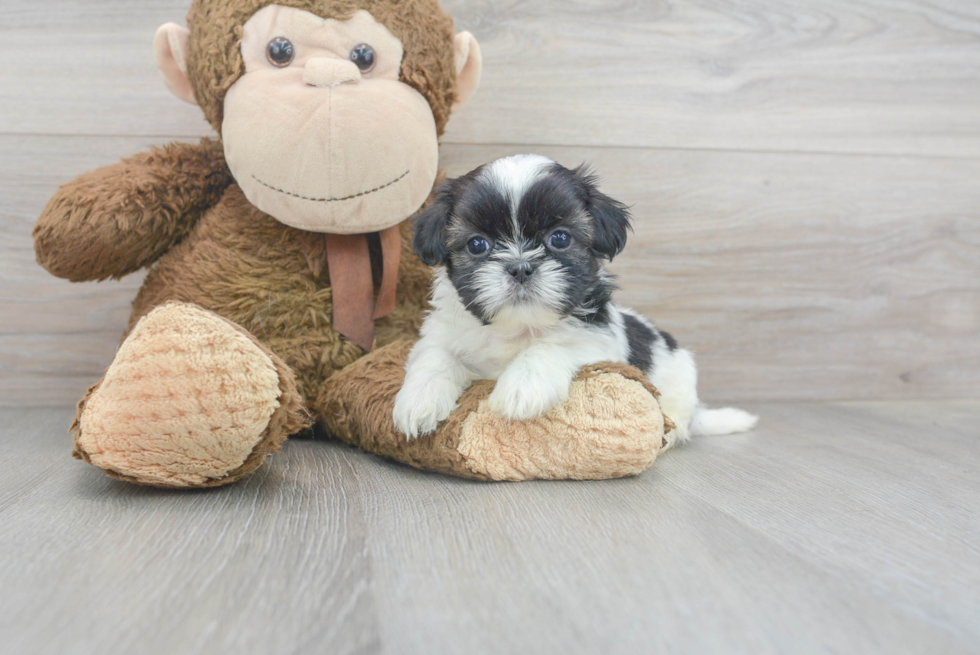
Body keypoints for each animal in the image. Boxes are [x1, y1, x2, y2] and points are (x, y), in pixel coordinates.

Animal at [392, 155, 756, 446]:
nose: (520, 268)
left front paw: (522, 386)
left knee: (677, 421)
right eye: (477, 245)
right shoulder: (440, 334)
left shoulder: (597, 342)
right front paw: (417, 402)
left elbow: (551, 346)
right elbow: (436, 358)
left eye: (560, 239)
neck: (518, 327)